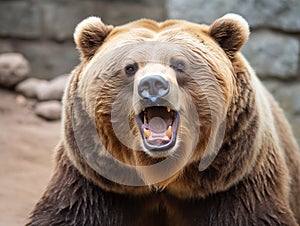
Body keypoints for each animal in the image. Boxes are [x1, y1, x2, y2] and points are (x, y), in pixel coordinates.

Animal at [26, 14, 300, 226]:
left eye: (179, 64)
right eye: (130, 67)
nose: (153, 84)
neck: (163, 178)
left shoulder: (234, 184)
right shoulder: (94, 183)